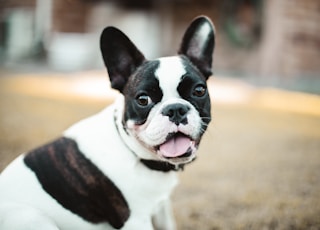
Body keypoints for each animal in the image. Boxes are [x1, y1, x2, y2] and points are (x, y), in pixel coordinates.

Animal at [0, 15, 215, 229]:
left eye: (198, 90)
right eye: (143, 99)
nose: (175, 109)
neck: (135, 154)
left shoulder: (161, 207)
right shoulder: (136, 220)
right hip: (32, 217)